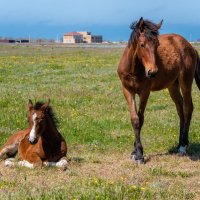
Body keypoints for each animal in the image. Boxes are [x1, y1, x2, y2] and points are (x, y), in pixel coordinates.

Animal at [117, 17, 200, 164]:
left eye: (157, 45)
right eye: (142, 44)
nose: (152, 72)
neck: (134, 69)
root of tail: (191, 47)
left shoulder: (145, 92)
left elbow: (140, 119)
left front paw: (140, 155)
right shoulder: (127, 90)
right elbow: (134, 119)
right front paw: (134, 152)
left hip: (185, 82)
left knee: (188, 108)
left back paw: (183, 146)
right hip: (173, 86)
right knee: (180, 111)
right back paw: (179, 144)